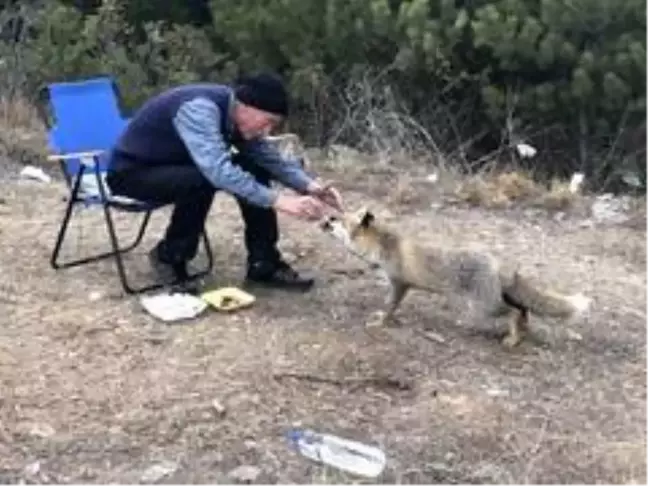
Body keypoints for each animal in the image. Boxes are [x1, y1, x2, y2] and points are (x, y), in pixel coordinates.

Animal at [320, 207, 592, 348]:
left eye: (337, 220)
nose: (324, 219)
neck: (382, 247)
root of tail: (497, 261)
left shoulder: (400, 284)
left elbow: (390, 307)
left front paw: (382, 322)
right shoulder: (397, 285)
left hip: (485, 307)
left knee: (516, 311)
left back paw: (513, 337)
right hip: (492, 303)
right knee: (523, 310)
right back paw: (520, 334)